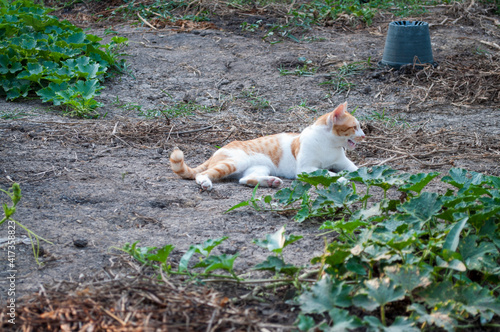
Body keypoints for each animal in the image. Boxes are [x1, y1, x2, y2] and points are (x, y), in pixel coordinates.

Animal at [170, 101, 366, 191]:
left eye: (359, 126)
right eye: (354, 127)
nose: (364, 135)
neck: (329, 145)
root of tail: (216, 152)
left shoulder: (344, 163)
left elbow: (357, 170)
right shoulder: (306, 169)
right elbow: (327, 172)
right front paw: (341, 179)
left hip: (259, 167)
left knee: (244, 180)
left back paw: (271, 182)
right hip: (235, 163)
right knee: (203, 174)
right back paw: (205, 182)